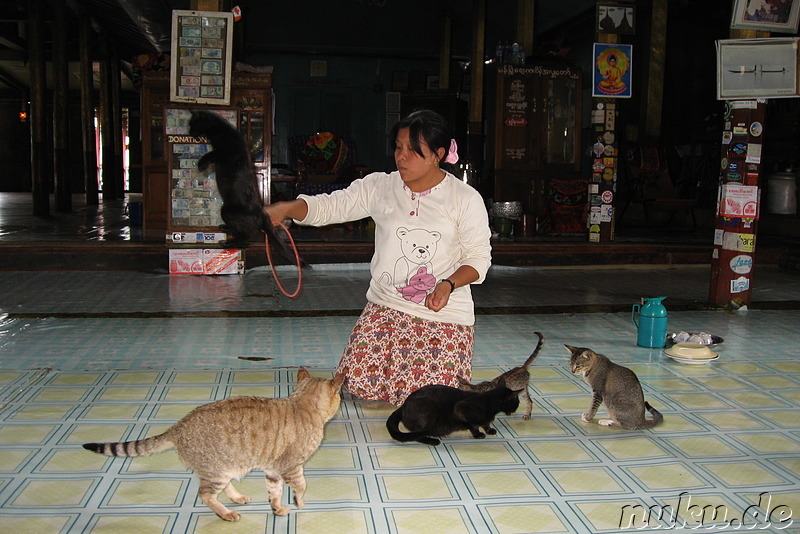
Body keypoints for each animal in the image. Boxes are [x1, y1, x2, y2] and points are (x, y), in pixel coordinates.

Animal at [83, 368, 344, 524]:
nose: (341, 401)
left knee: (224, 487)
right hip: (216, 471)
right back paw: (226, 513)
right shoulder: (292, 467)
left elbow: (274, 493)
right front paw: (299, 502)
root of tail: (178, 427)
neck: (302, 405)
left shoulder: (272, 470)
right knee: (206, 495)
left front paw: (277, 508)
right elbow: (301, 485)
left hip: (224, 468)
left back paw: (237, 498)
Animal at [188, 110, 296, 266]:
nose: (189, 132)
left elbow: (210, 154)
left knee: (247, 236)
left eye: (192, 123)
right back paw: (226, 229)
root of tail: (262, 213)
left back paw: (227, 243)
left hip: (227, 211)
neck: (221, 130)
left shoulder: (226, 151)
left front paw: (201, 165)